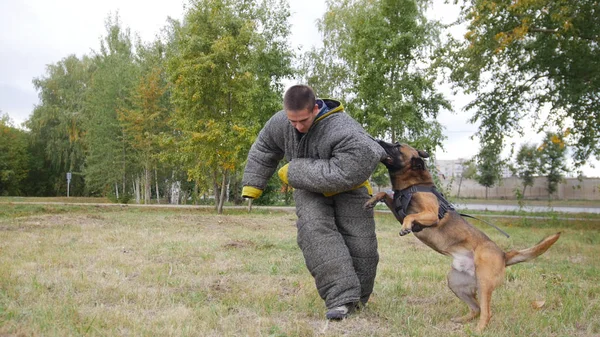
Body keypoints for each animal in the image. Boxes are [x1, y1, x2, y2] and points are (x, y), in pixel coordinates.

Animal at [366, 140, 564, 332]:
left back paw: (478, 330)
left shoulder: (431, 214)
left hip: (484, 282)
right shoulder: (398, 209)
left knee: (486, 312)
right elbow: (385, 194)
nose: (378, 140)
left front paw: (406, 227)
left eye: (397, 146)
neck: (412, 185)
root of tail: (504, 255)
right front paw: (372, 200)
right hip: (456, 282)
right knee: (476, 308)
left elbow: (409, 216)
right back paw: (461, 320)